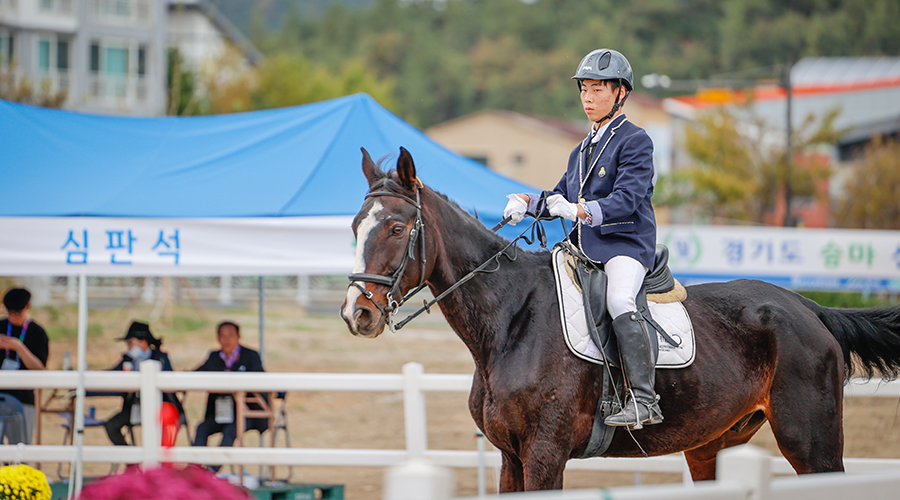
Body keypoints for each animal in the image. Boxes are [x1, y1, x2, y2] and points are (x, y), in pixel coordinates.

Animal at [340, 146, 900, 490]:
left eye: (396, 228)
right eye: (354, 225)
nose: (356, 312)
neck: (510, 320)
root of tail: (807, 307)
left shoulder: (544, 454)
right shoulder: (509, 457)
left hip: (812, 443)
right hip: (713, 445)